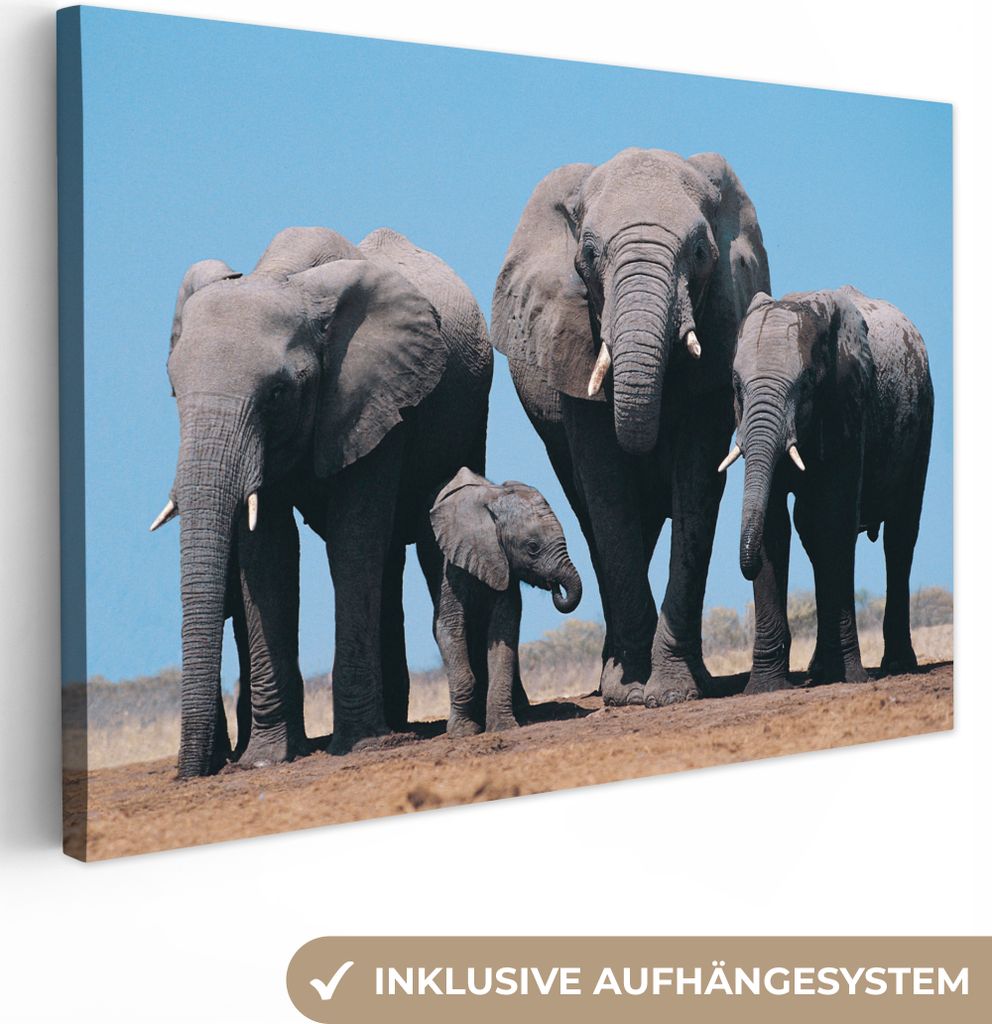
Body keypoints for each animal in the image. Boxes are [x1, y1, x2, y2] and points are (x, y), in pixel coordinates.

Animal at [152, 225, 492, 777]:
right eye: (175, 393)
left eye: (276, 394)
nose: (193, 774)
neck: (284, 277)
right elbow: (268, 556)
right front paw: (266, 759)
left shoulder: (375, 396)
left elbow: (352, 543)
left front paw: (358, 744)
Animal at [428, 468, 582, 735]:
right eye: (532, 547)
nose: (554, 586)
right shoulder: (453, 565)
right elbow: (447, 628)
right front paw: (463, 732)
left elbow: (503, 633)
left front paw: (503, 727)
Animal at [491, 148, 770, 707]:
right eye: (588, 254)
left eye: (701, 251)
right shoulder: (570, 337)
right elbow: (606, 486)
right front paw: (628, 694)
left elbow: (697, 481)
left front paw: (675, 693)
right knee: (591, 516)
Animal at [722, 286, 933, 692]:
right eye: (736, 385)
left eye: (805, 385)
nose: (744, 568)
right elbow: (774, 525)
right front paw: (767, 687)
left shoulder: (846, 403)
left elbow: (834, 519)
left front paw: (849, 678)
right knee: (811, 534)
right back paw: (820, 670)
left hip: (924, 418)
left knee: (901, 535)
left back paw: (897, 665)